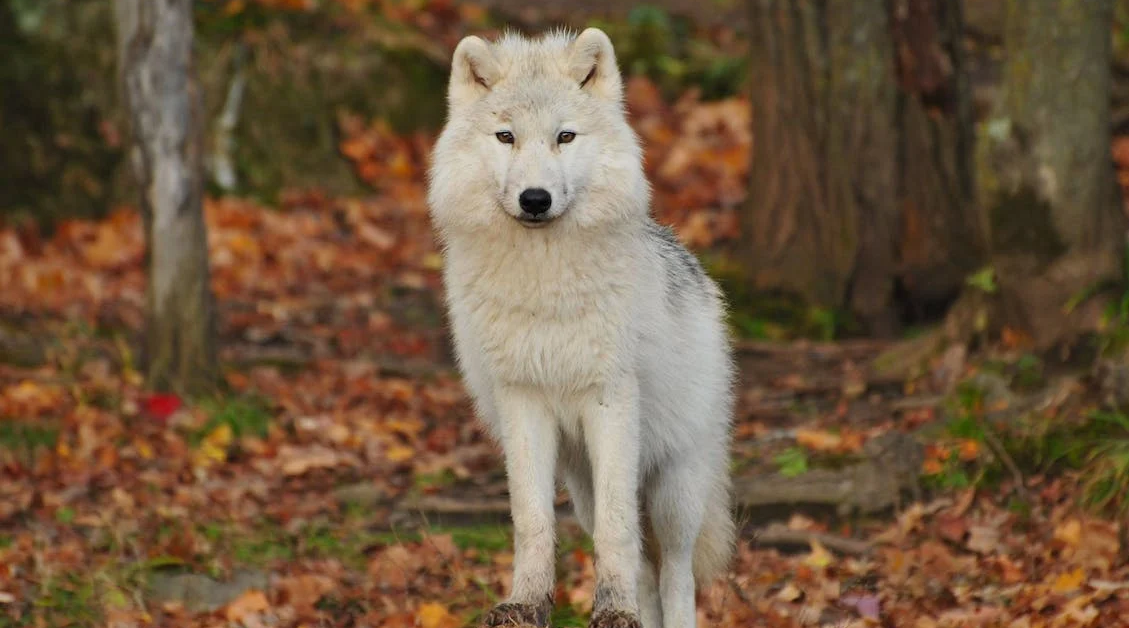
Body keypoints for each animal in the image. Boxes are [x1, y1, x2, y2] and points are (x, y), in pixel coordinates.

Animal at [426, 26, 736, 628]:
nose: (535, 199)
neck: (544, 287)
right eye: (506, 137)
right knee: (644, 570)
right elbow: (532, 520)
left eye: (565, 137)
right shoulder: (522, 400)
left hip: (674, 487)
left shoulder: (609, 399)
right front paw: (525, 603)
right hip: (582, 483)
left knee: (675, 573)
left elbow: (618, 532)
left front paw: (611, 608)